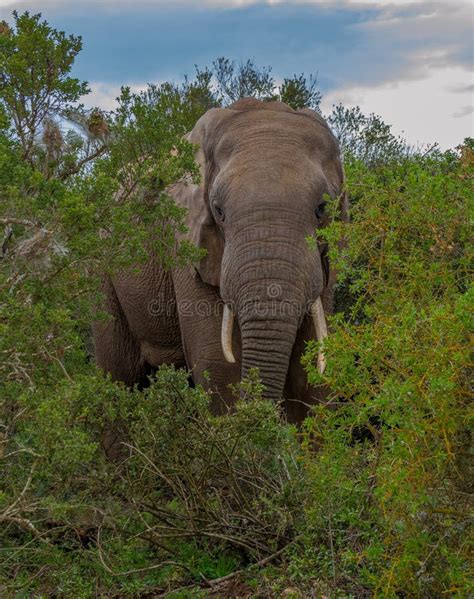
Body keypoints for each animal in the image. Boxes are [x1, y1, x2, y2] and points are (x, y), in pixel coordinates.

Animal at [92, 98, 348, 422]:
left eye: (322, 209)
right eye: (219, 211)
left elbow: (311, 368)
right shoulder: (185, 242)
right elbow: (217, 363)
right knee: (117, 376)